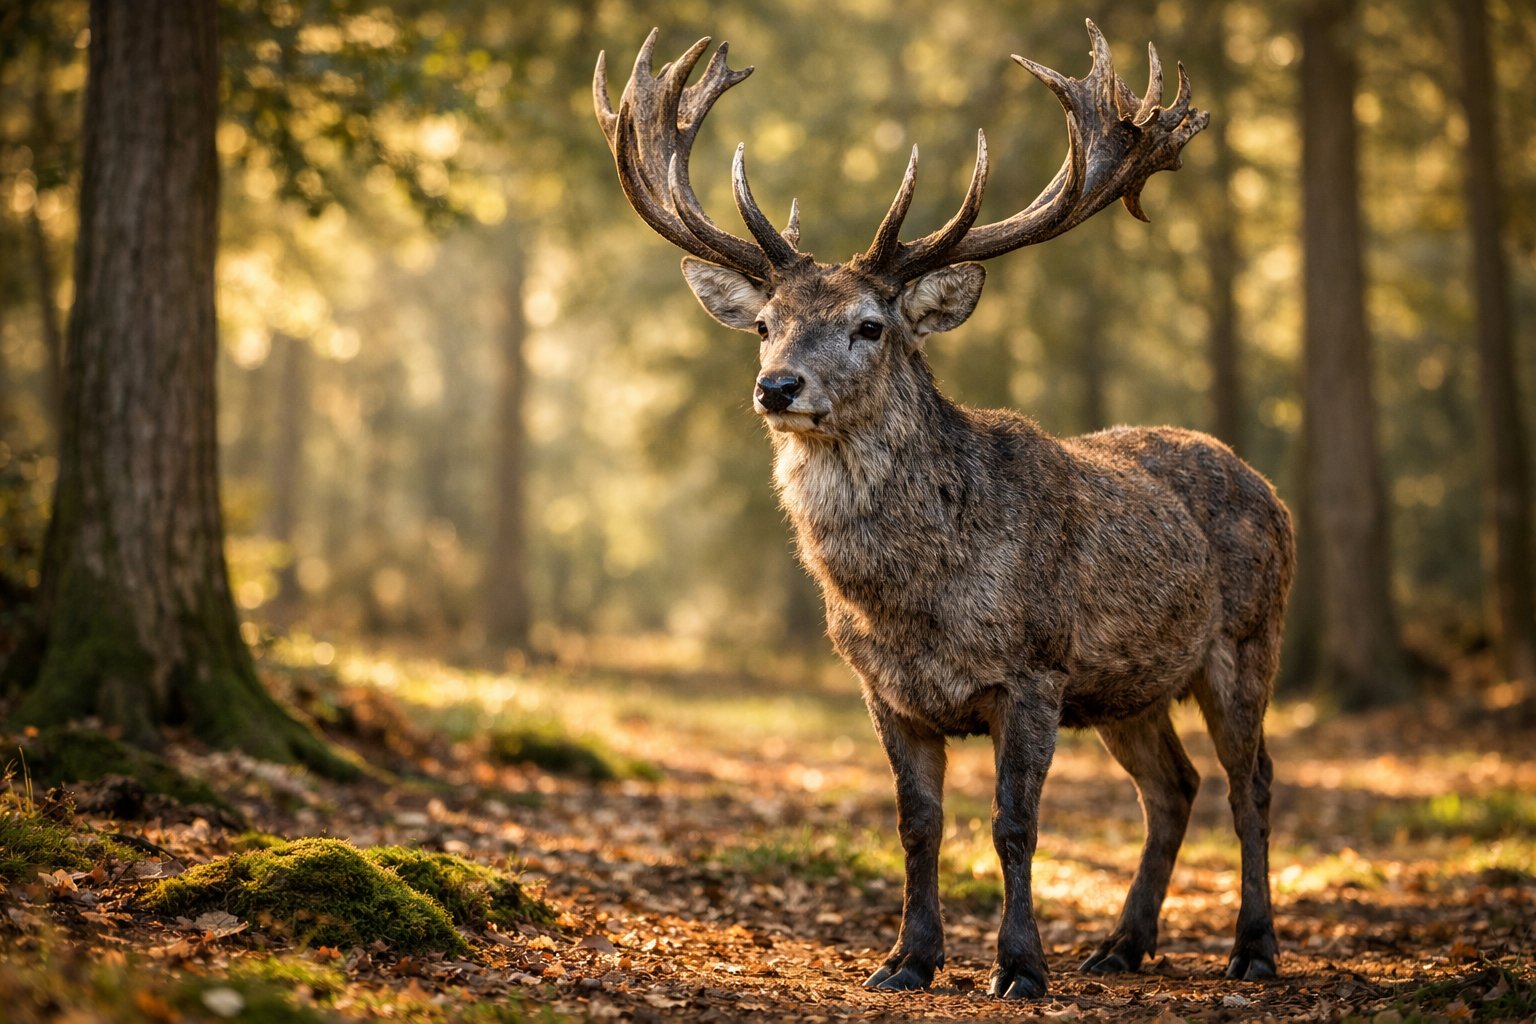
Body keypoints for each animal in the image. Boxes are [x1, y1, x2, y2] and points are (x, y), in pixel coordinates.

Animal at [594, 21, 1294, 1000]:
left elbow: (1013, 825)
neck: (914, 603)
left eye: (870, 325)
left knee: (1251, 780)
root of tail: (1268, 487)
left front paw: (1021, 967)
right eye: (766, 324)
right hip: (1128, 689)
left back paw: (1254, 946)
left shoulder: (1034, 667)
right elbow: (917, 825)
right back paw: (1120, 943)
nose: (778, 387)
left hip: (1246, 641)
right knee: (1173, 786)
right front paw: (906, 960)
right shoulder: (884, 689)